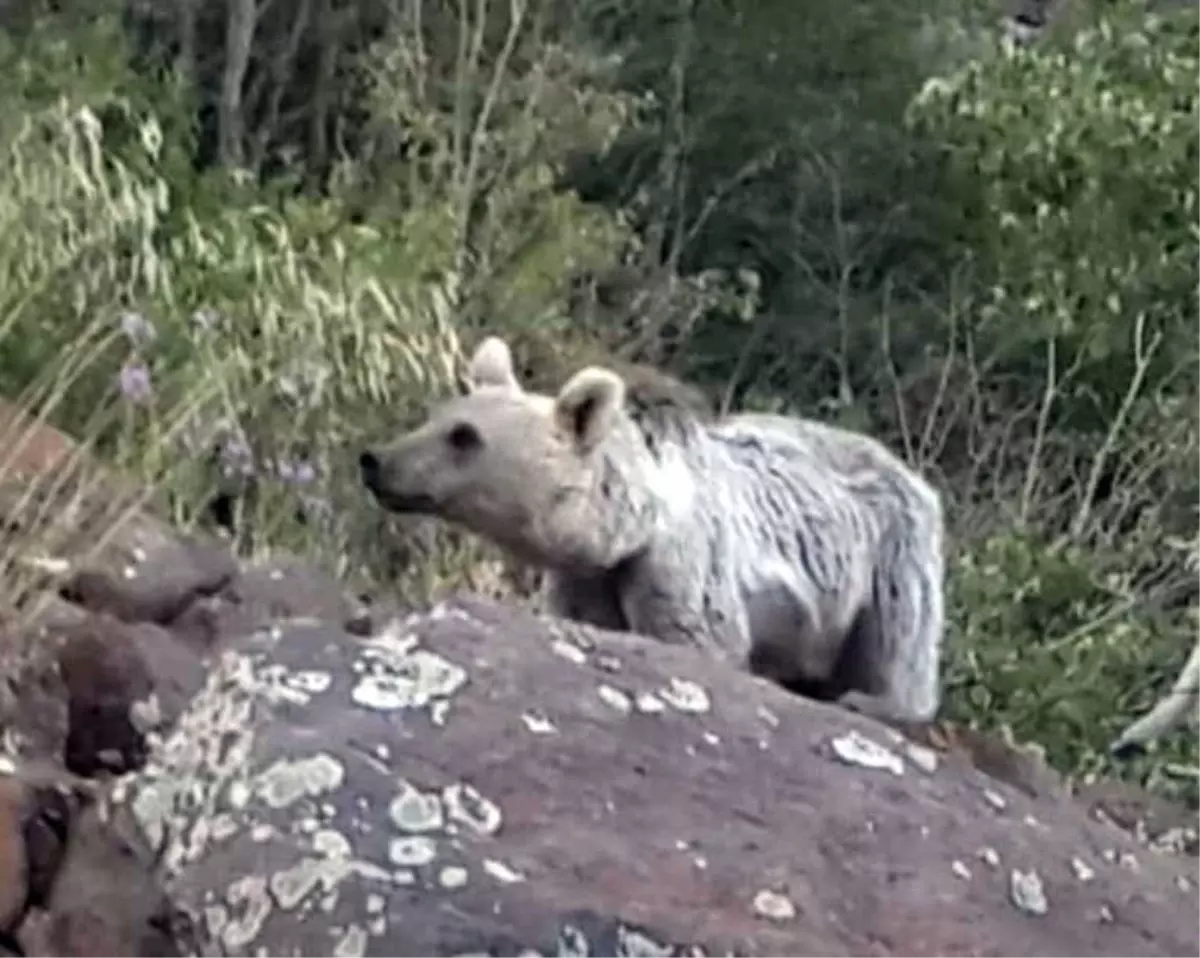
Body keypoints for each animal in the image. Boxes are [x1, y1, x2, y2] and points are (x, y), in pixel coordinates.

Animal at [355, 338, 945, 729]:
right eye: (439, 415)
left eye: (464, 436)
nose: (376, 461)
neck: (627, 527)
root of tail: (907, 469)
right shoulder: (584, 581)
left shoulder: (680, 569)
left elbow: (698, 641)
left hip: (891, 553)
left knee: (899, 634)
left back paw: (875, 702)